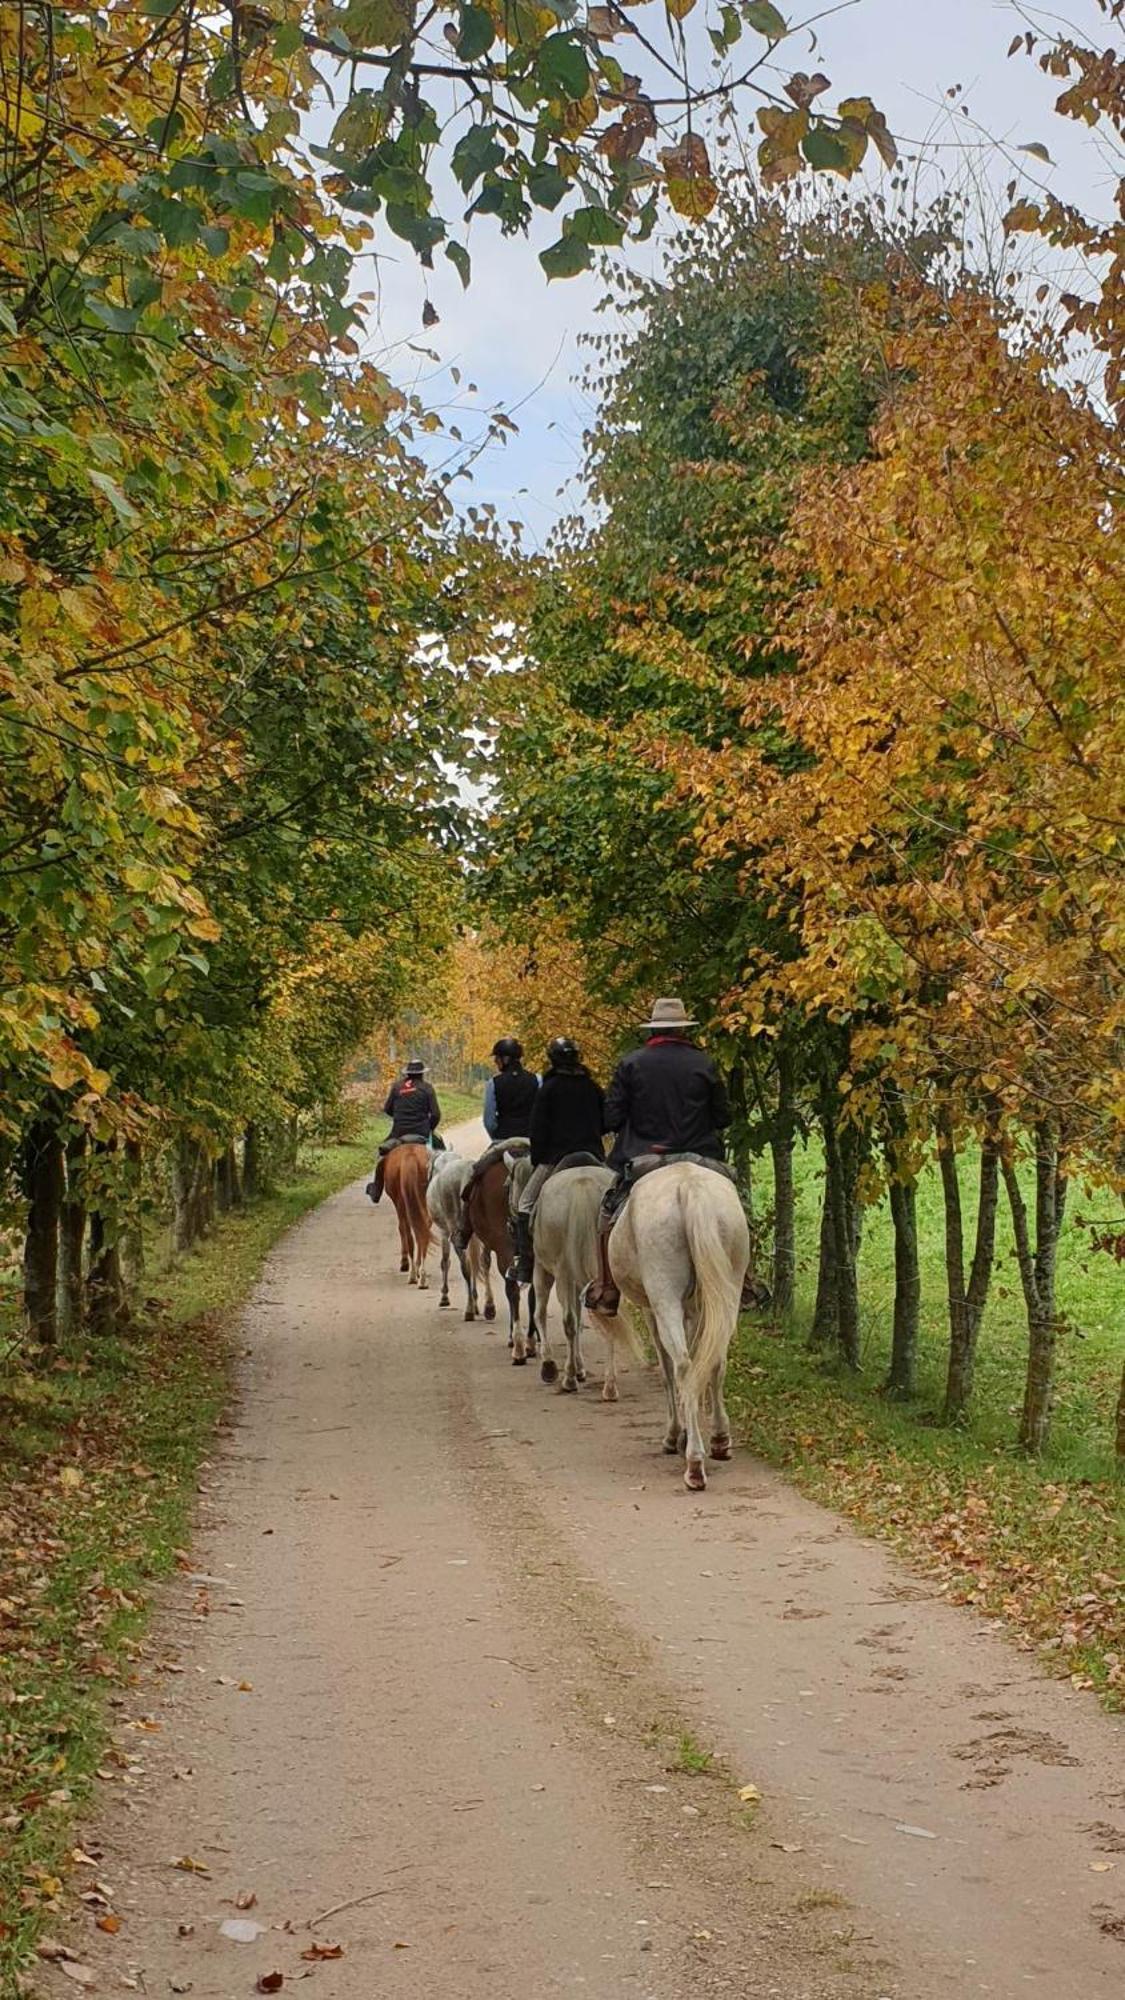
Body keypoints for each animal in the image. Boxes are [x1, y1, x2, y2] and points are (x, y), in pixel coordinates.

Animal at [378, 1144, 426, 1280]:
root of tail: (411, 1156)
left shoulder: (398, 1204)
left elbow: (401, 1228)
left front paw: (404, 1262)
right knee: (422, 1232)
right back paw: (420, 1271)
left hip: (402, 1204)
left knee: (409, 1233)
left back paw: (413, 1274)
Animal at [424, 1160, 494, 1328]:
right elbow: (476, 1264)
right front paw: (476, 1303)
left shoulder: (444, 1232)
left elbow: (445, 1261)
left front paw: (444, 1297)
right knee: (484, 1261)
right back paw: (489, 1307)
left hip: (455, 1231)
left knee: (466, 1266)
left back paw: (469, 1311)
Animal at [528, 1168, 608, 1400]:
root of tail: (582, 1183)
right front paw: (580, 1368)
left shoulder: (542, 1269)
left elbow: (540, 1313)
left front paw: (549, 1365)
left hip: (561, 1271)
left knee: (568, 1321)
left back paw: (569, 1379)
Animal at [580, 1160, 748, 1488]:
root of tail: (689, 1187)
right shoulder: (694, 1309)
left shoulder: (652, 1311)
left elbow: (666, 1370)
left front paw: (674, 1436)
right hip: (727, 1292)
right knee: (714, 1360)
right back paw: (720, 1441)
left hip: (664, 1298)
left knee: (682, 1365)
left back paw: (694, 1462)